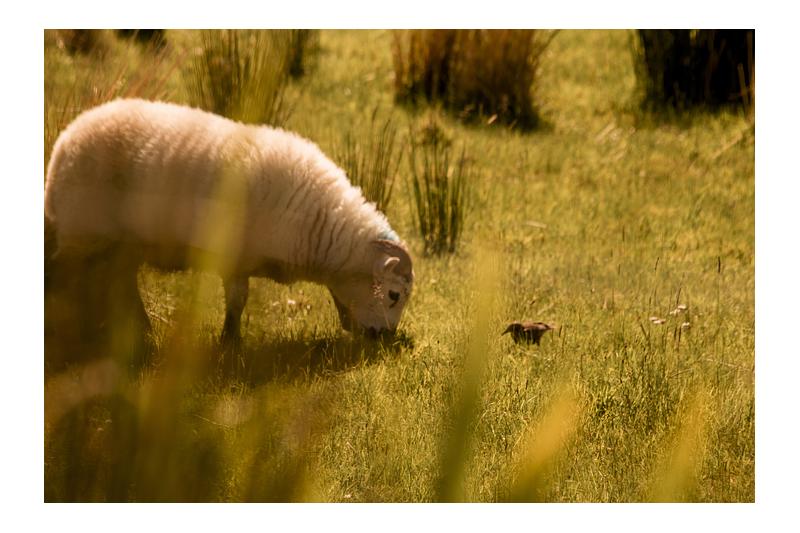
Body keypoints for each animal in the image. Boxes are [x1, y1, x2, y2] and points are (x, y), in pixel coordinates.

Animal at [44, 98, 414, 344]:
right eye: (394, 295)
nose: (385, 338)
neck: (319, 222)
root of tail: (66, 138)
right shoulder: (235, 257)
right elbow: (238, 302)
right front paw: (230, 343)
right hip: (82, 230)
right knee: (62, 276)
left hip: (120, 243)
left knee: (118, 283)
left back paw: (139, 332)